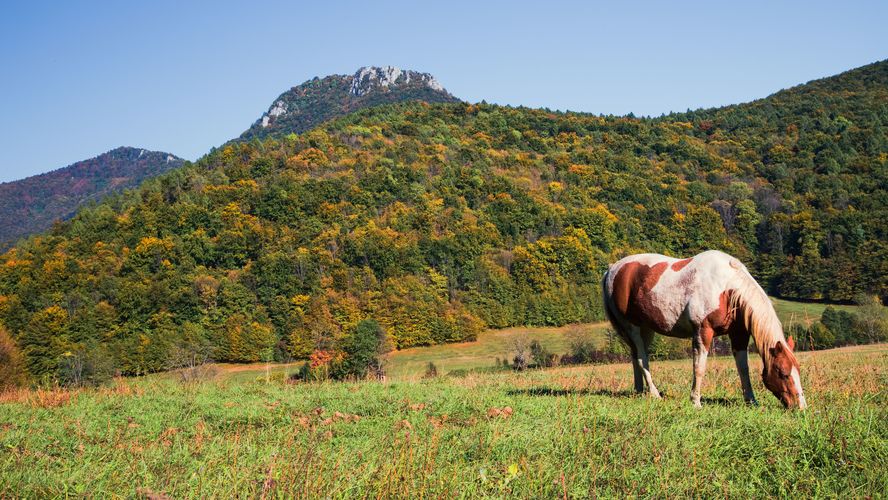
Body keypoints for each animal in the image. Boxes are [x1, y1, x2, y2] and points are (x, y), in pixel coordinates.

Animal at [604, 252, 804, 408]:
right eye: (783, 373)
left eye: (798, 370)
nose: (801, 406)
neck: (726, 289)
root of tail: (612, 269)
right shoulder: (703, 332)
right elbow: (699, 368)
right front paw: (695, 401)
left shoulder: (739, 335)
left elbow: (743, 369)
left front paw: (751, 401)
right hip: (632, 327)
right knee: (641, 358)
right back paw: (654, 394)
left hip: (646, 330)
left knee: (635, 356)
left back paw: (639, 391)